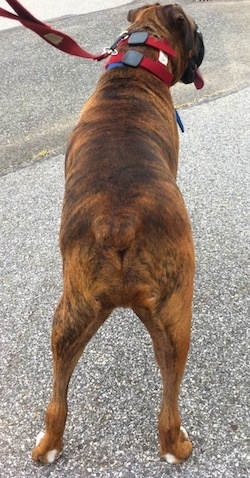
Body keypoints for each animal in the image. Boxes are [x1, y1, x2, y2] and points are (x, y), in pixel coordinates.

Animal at [32, 3, 205, 464]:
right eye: (196, 31)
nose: (203, 41)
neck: (135, 65)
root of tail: (119, 220)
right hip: (177, 319)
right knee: (169, 406)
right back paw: (177, 447)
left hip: (71, 316)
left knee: (57, 398)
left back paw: (48, 445)